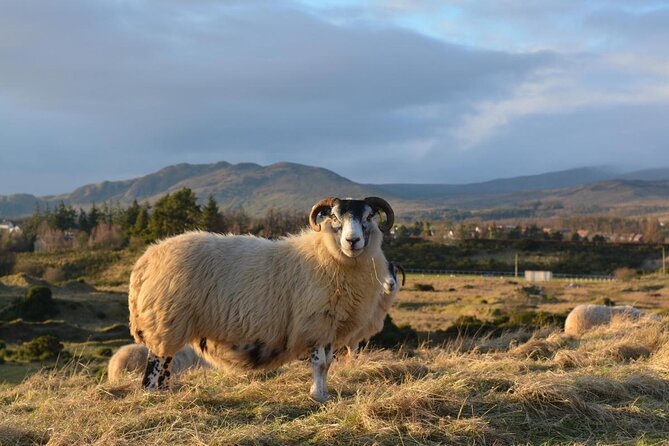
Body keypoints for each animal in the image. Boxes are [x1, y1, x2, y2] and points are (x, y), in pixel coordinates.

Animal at [128, 196, 395, 402]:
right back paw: (152, 395)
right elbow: (320, 363)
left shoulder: (328, 326)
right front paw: (317, 396)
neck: (325, 254)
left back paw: (164, 394)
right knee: (155, 364)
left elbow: (328, 363)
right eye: (334, 217)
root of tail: (147, 259)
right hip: (166, 320)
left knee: (165, 364)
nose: (353, 241)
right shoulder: (315, 322)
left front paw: (324, 394)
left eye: (369, 216)